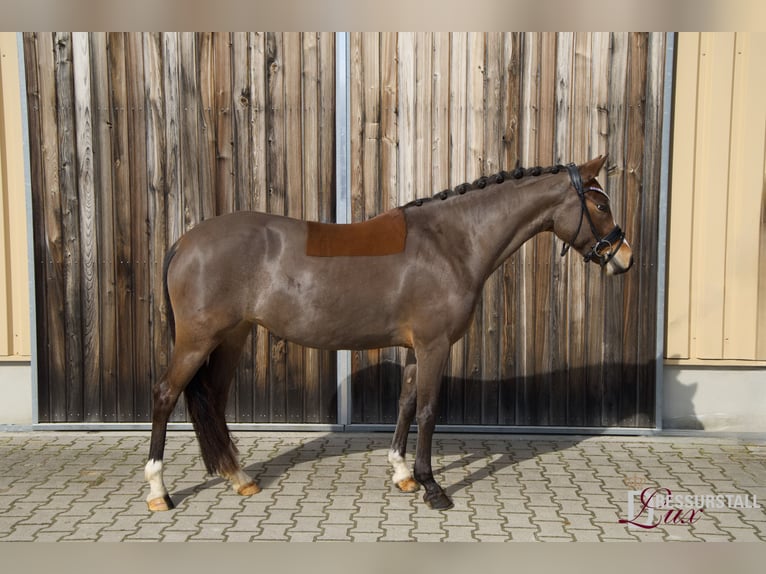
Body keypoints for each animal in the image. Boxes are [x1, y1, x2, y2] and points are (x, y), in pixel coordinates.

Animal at [145, 155, 633, 512]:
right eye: (601, 205)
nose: (624, 257)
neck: (451, 242)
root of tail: (185, 242)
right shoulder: (435, 345)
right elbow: (429, 411)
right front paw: (433, 487)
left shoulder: (418, 348)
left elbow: (406, 403)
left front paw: (402, 474)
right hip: (197, 341)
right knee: (166, 394)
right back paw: (158, 492)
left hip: (233, 337)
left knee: (213, 398)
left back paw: (240, 478)